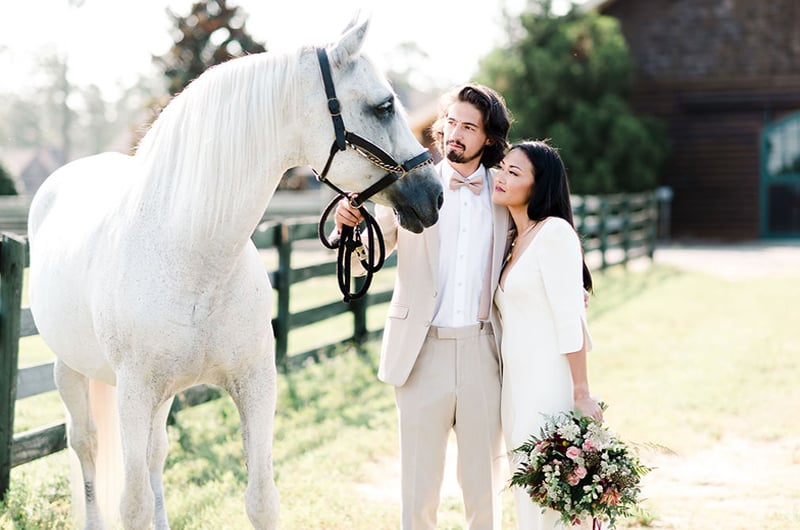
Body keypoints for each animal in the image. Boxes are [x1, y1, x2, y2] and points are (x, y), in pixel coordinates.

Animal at [28, 16, 440, 528]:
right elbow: (133, 504)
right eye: (383, 106)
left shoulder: (256, 382)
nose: (434, 193)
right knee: (86, 445)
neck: (193, 258)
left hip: (161, 396)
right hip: (71, 371)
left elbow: (261, 497)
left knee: (155, 453)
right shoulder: (134, 392)